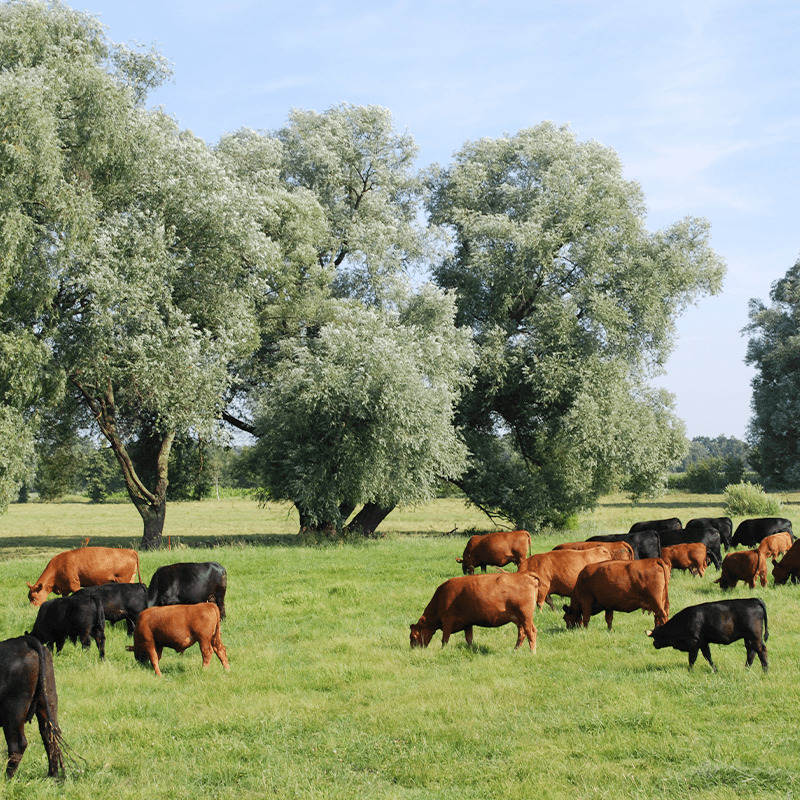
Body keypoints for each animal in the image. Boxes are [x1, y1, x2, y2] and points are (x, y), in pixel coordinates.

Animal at [0, 636, 64, 780]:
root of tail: (23, 640)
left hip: (14, 710)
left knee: (17, 744)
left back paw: (7, 779)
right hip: (48, 700)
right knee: (50, 734)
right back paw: (52, 776)